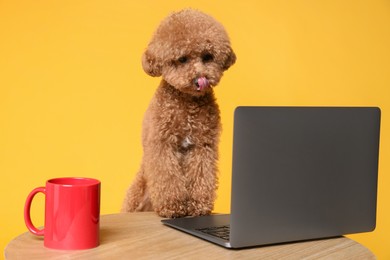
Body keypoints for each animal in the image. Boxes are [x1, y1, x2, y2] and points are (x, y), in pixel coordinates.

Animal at [122, 8, 236, 217]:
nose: (200, 78)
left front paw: (198, 206)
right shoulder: (162, 144)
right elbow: (168, 178)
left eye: (207, 56)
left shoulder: (202, 146)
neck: (187, 104)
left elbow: (202, 175)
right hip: (137, 190)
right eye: (182, 59)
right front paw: (173, 206)